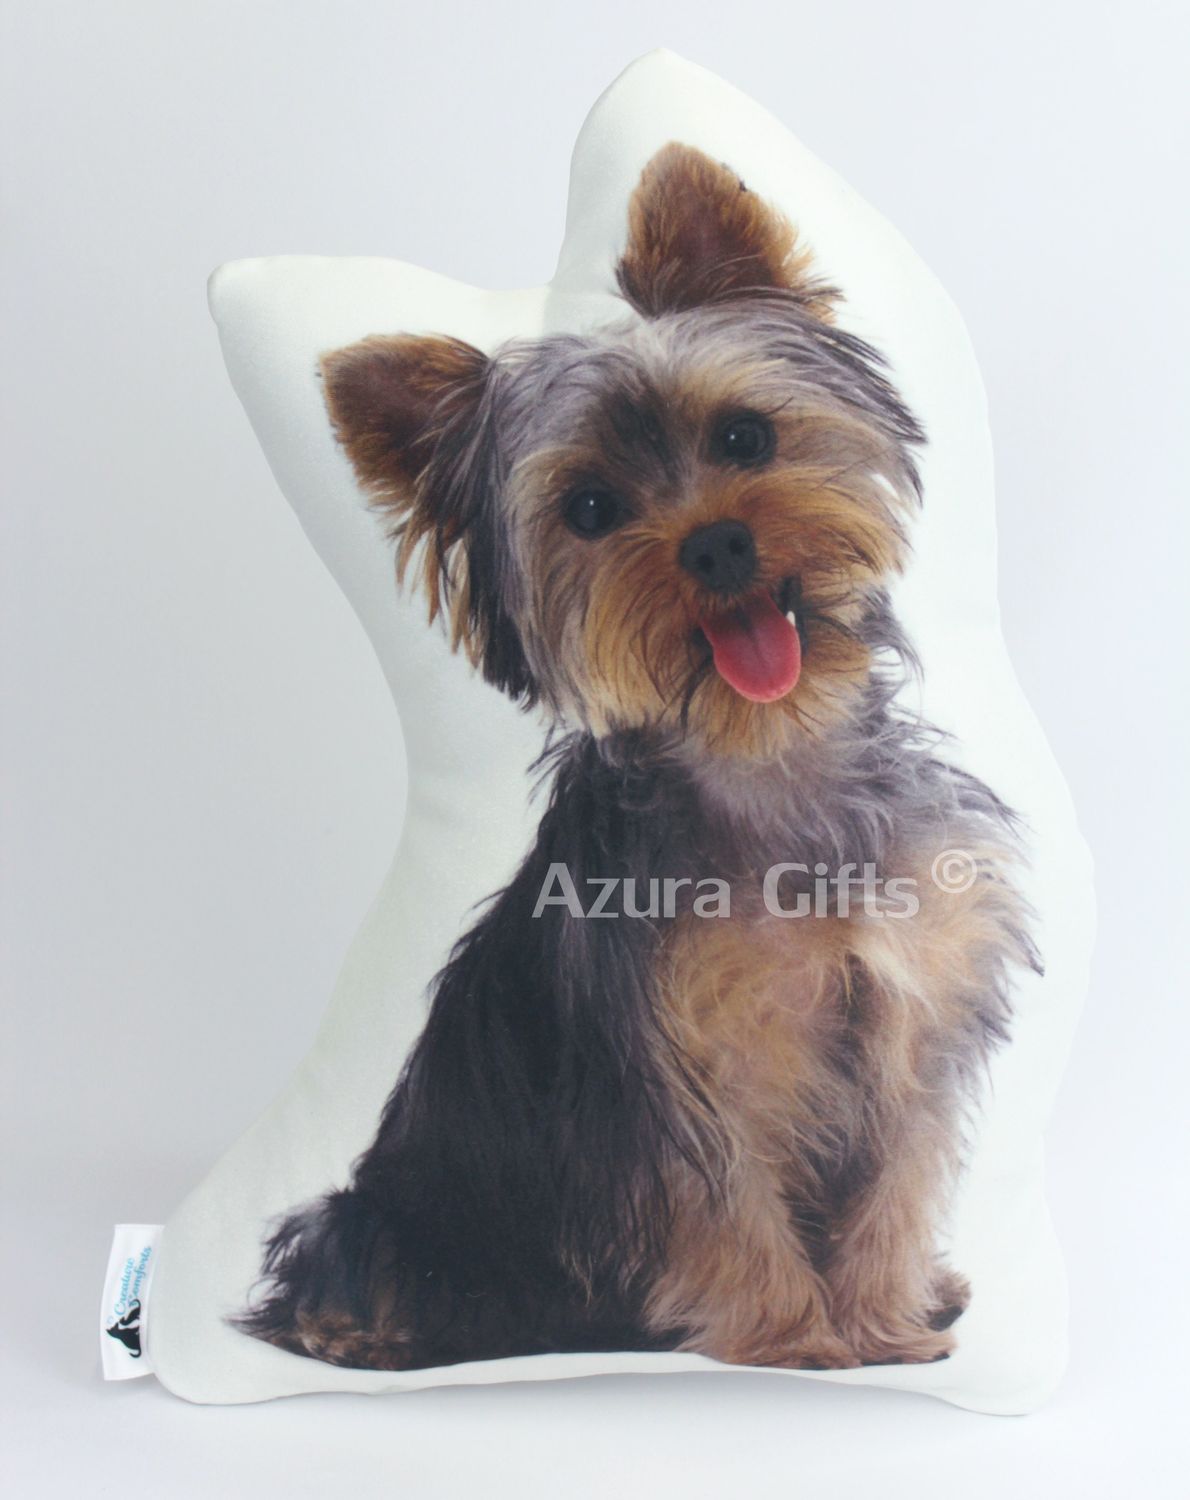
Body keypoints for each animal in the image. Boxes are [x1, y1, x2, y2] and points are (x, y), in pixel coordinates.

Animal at [234, 143, 1035, 1373]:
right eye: (590, 507)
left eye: (744, 438)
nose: (716, 544)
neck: (771, 761)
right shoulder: (674, 1059)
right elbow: (722, 1195)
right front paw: (793, 1337)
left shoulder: (914, 1003)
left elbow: (894, 1176)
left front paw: (884, 1320)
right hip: (400, 1218)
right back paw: (361, 1329)